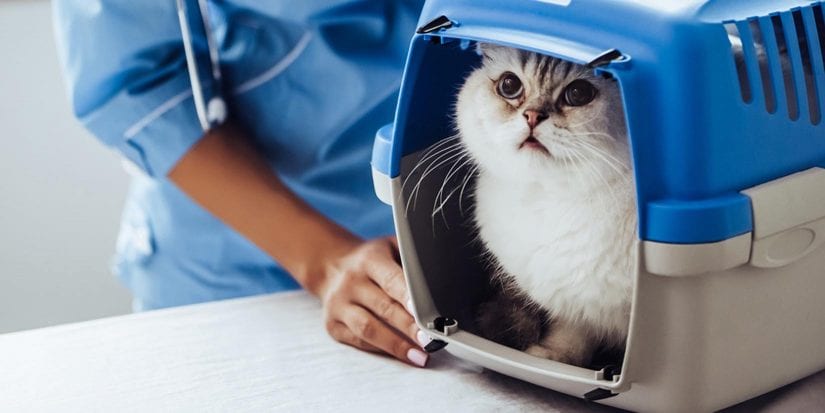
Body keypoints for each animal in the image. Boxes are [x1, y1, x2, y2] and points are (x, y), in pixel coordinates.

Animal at [458, 44, 636, 366]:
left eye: (578, 93)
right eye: (509, 85)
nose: (532, 116)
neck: (549, 199)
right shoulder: (576, 302)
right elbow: (573, 335)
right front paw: (550, 357)